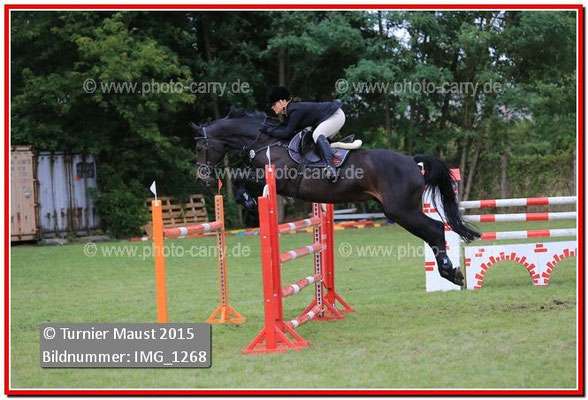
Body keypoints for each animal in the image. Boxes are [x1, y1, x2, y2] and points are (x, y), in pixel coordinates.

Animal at [190, 107, 480, 286]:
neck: (265, 141)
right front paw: (247, 199)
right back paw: (451, 272)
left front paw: (247, 200)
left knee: (435, 229)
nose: (202, 176)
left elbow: (241, 177)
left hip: (400, 211)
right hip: (400, 211)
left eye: (201, 146)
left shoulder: (279, 179)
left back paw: (450, 272)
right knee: (433, 231)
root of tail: (411, 161)